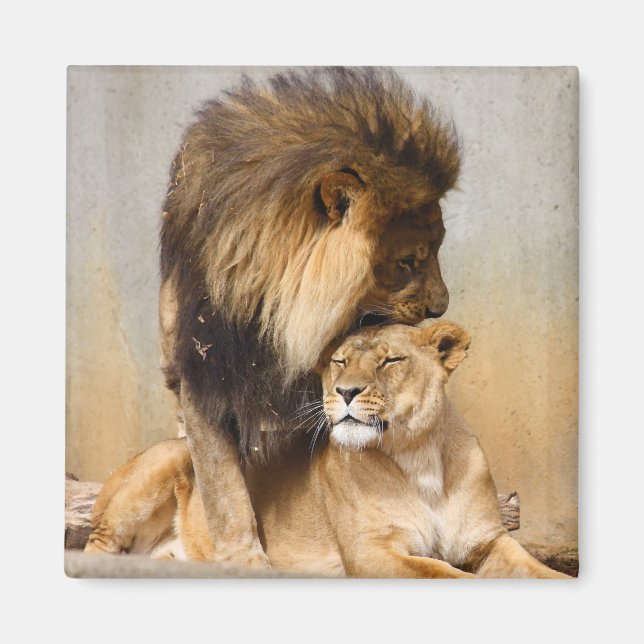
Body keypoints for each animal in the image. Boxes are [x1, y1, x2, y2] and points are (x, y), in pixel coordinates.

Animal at [86, 322, 569, 579]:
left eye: (391, 361)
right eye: (339, 361)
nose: (346, 391)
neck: (419, 457)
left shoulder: (488, 540)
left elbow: (541, 571)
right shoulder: (369, 552)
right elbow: (444, 573)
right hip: (170, 458)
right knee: (97, 545)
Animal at [158, 67, 462, 566]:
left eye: (436, 250)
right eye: (407, 262)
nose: (441, 308)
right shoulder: (202, 373)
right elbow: (222, 484)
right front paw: (244, 557)